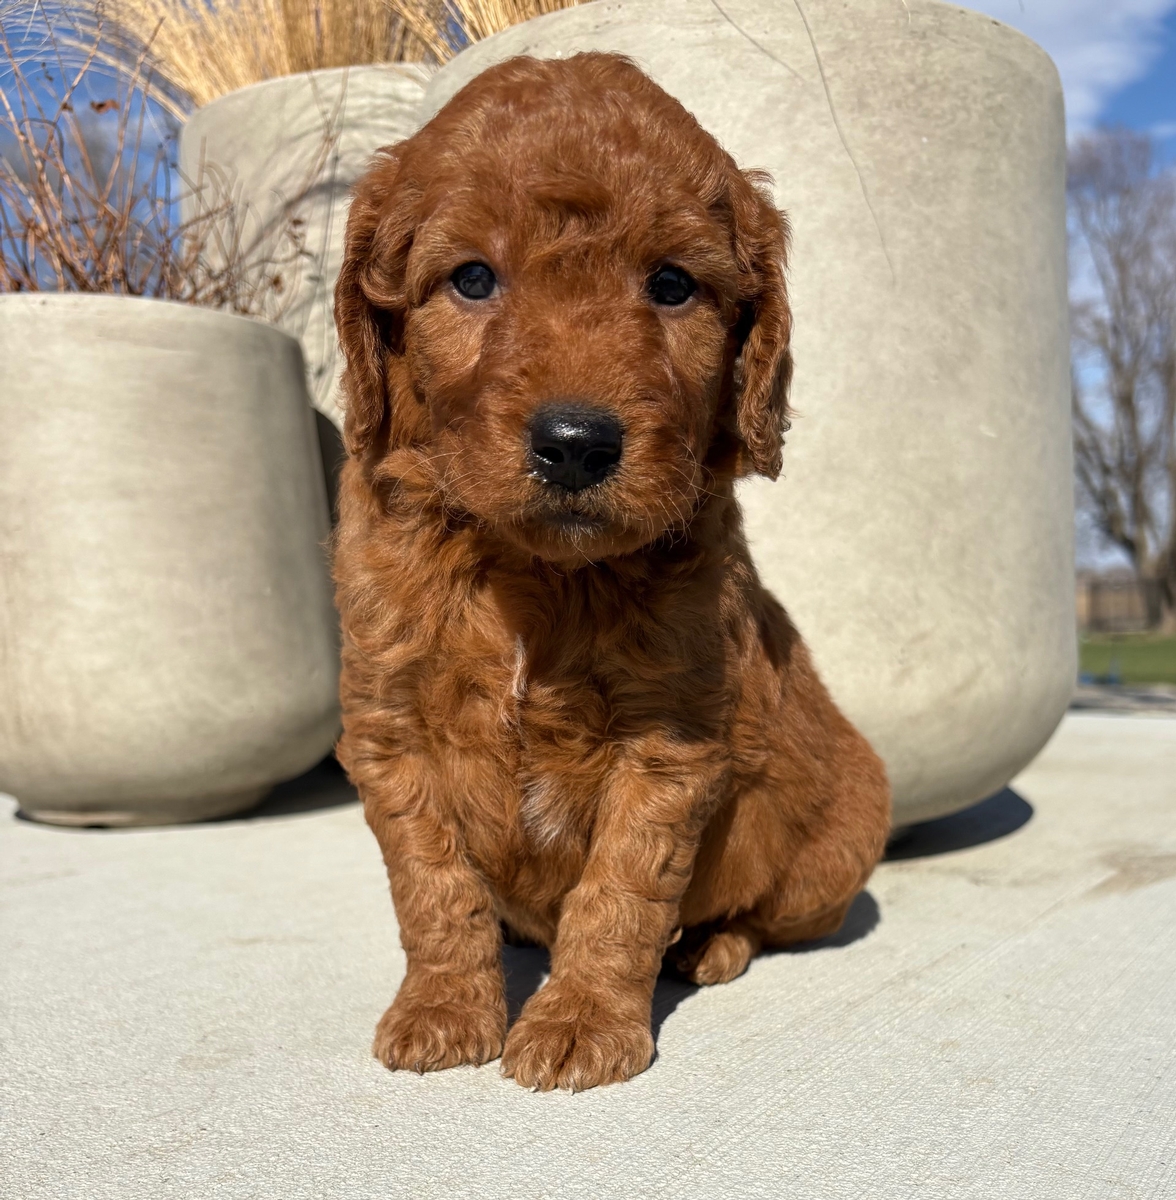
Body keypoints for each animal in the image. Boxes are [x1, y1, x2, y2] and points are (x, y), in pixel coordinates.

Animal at [332, 52, 891, 1092]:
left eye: (672, 285)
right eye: (472, 278)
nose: (576, 443)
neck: (533, 572)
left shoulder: (670, 739)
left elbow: (621, 891)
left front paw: (582, 1020)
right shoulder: (388, 727)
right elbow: (432, 884)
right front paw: (443, 1009)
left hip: (840, 841)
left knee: (765, 918)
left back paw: (710, 946)